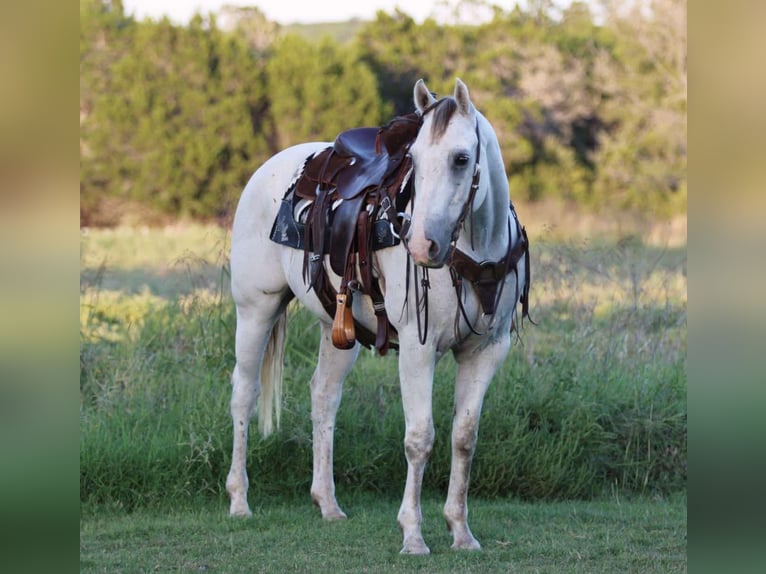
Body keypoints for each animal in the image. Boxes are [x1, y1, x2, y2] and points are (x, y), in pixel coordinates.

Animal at [225, 78, 530, 555]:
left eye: (461, 158)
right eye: (414, 160)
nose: (422, 245)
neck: (475, 252)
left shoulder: (486, 350)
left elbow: (464, 438)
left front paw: (461, 531)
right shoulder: (419, 350)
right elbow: (420, 438)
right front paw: (413, 534)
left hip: (337, 329)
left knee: (324, 395)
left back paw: (327, 503)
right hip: (256, 309)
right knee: (244, 392)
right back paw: (239, 500)